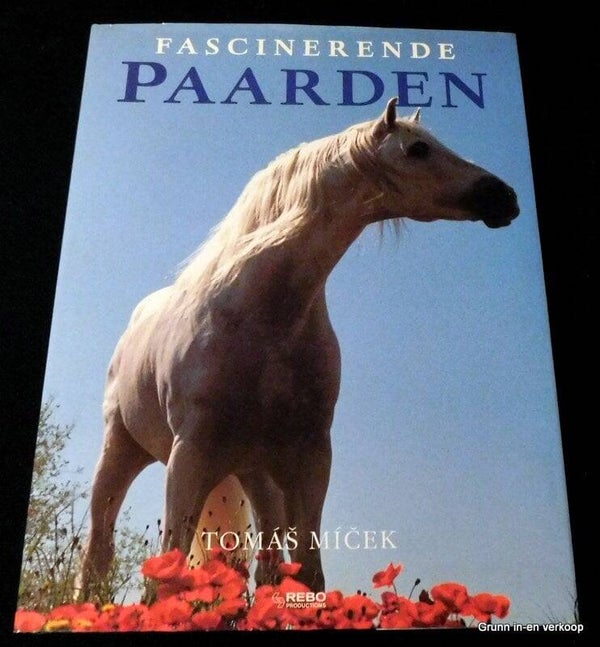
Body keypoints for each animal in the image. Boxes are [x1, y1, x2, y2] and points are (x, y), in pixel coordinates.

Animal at [76, 97, 519, 598]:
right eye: (418, 149)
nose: (504, 196)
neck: (263, 315)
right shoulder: (188, 454)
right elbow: (167, 570)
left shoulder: (309, 458)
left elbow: (308, 570)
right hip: (123, 450)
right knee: (99, 551)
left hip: (255, 474)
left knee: (262, 567)